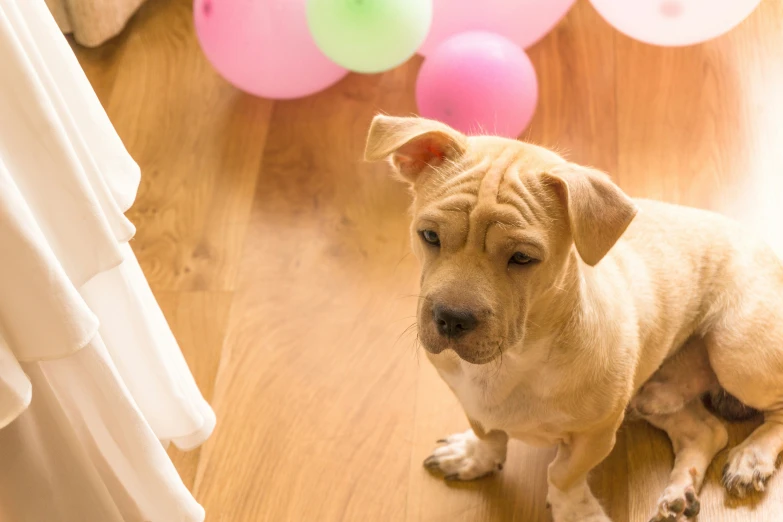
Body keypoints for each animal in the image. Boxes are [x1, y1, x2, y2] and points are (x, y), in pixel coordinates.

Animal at [364, 114, 783, 520]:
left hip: (737, 353)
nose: (450, 319)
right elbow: (489, 434)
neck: (515, 359)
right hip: (653, 392)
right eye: (429, 236)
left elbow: (563, 474)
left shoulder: (595, 434)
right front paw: (475, 456)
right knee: (706, 430)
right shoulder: (470, 401)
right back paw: (680, 491)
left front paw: (576, 511)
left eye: (523, 258)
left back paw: (751, 459)